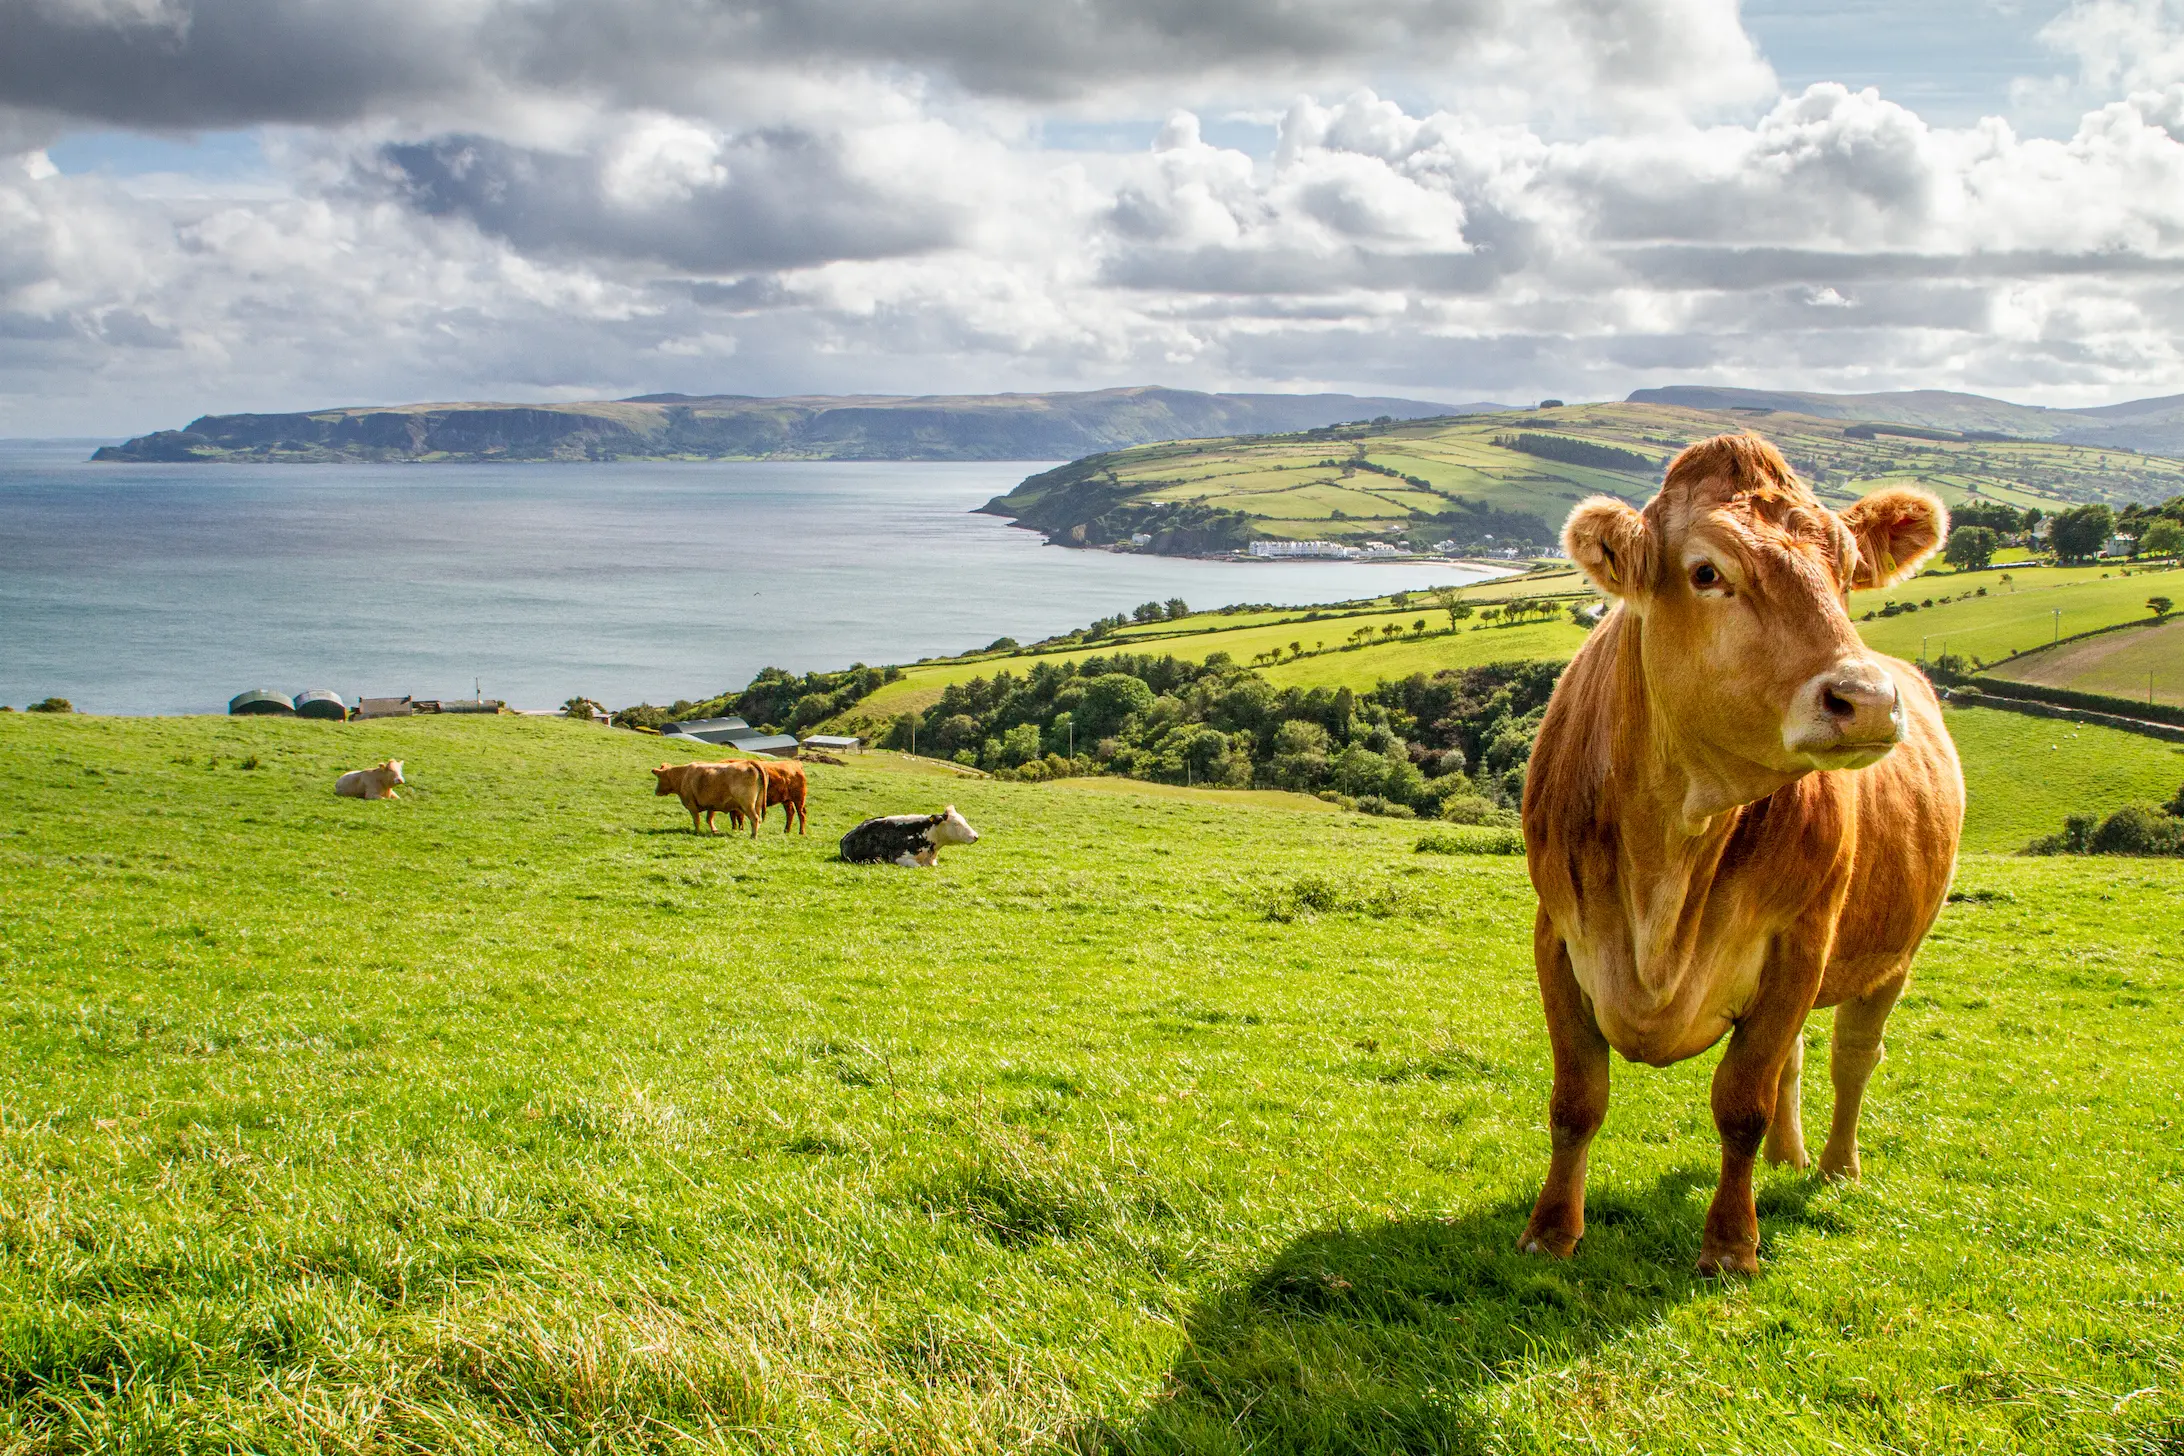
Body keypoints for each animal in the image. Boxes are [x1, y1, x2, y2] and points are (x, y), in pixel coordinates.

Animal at [1517, 433, 1961, 1277]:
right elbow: (1575, 1098)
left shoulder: (1798, 941)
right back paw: (1792, 1157)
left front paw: (1730, 1245)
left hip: (1896, 953)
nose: (1866, 700)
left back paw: (1835, 1167)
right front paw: (1551, 1232)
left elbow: (1741, 1103)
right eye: (1706, 572)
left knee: (1852, 1055)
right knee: (1797, 1058)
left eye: (1848, 571)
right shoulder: (1557, 935)